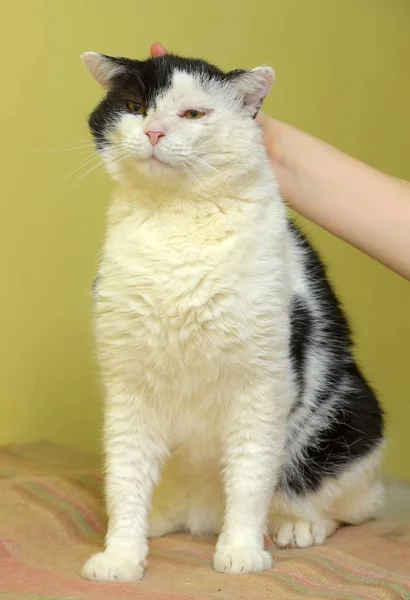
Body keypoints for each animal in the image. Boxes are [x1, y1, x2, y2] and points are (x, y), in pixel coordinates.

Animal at [80, 52, 384, 580]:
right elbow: (126, 479)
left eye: (193, 114)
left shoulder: (262, 387)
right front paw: (121, 555)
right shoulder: (128, 388)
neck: (176, 222)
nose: (154, 131)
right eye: (136, 106)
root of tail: (200, 517)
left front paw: (241, 551)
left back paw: (296, 525)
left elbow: (249, 476)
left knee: (347, 504)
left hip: (354, 418)